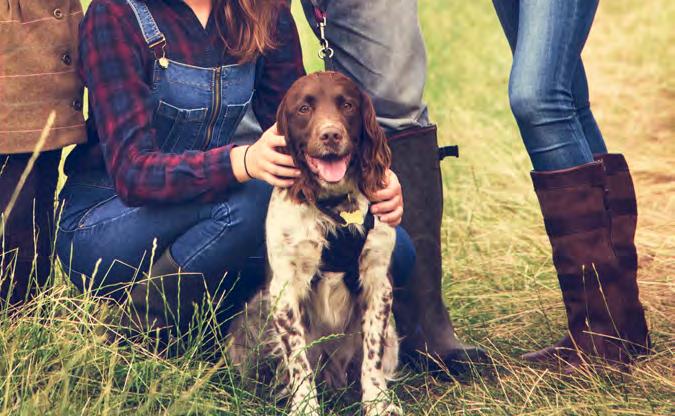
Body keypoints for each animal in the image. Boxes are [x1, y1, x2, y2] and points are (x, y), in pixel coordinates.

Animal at [228, 72, 401, 416]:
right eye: (304, 108)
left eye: (347, 105)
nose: (331, 134)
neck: (334, 204)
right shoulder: (285, 288)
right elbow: (298, 360)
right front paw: (305, 406)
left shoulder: (378, 283)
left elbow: (371, 357)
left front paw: (377, 403)